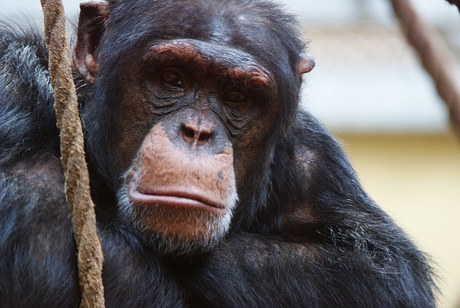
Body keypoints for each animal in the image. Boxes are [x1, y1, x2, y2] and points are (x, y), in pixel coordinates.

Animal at [0, 0, 436, 306]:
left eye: (236, 96)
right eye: (171, 78)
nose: (197, 133)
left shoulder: (315, 162)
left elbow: (380, 273)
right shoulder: (11, 81)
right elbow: (36, 209)